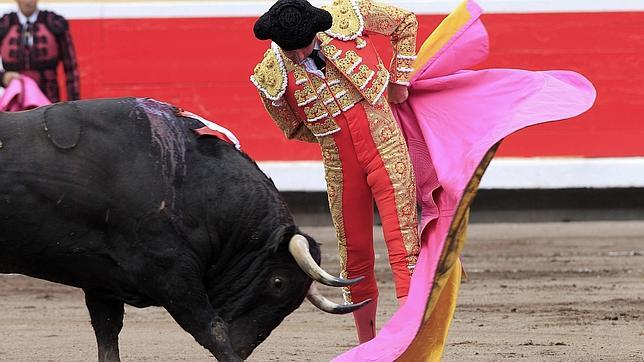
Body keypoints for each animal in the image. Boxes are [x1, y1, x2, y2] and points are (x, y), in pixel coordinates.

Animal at [0, 97, 368, 360]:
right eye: (278, 283)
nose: (243, 348)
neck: (190, 182)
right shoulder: (170, 273)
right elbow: (212, 331)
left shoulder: (102, 281)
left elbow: (108, 335)